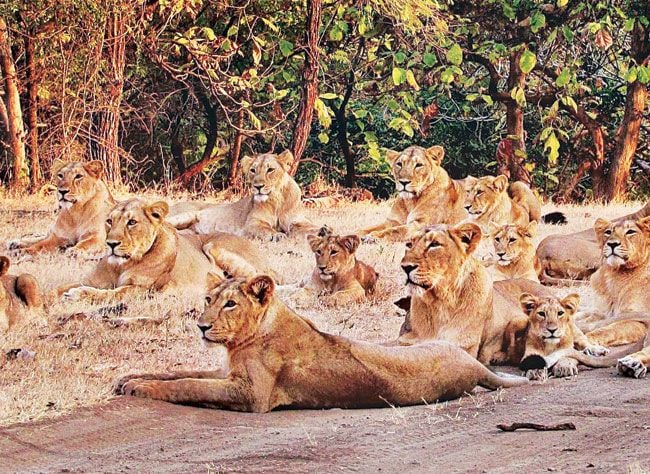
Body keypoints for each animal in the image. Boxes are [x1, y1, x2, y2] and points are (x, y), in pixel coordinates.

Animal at [59, 199, 273, 304]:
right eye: (109, 221)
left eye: (132, 222)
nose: (111, 243)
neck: (121, 265)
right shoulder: (91, 280)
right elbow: (57, 289)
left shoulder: (142, 290)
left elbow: (108, 294)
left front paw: (77, 295)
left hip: (213, 246)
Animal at [114, 275, 527, 411]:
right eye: (208, 299)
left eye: (230, 304)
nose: (201, 326)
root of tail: (472, 364)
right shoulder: (225, 370)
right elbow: (178, 372)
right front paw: (129, 378)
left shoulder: (252, 395)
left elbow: (188, 385)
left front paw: (138, 388)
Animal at [168, 150, 319, 241]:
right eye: (253, 170)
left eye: (270, 170)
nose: (258, 187)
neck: (276, 200)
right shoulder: (252, 223)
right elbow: (266, 229)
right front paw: (277, 235)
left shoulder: (298, 220)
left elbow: (306, 227)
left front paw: (321, 231)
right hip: (186, 215)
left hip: (189, 232)